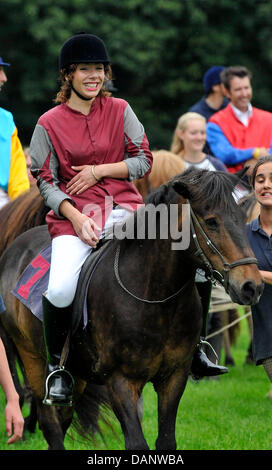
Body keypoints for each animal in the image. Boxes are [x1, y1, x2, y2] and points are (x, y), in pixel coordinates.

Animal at [0, 168, 264, 448]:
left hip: (77, 373)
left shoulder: (174, 376)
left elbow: (166, 441)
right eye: (212, 221)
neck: (155, 296)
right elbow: (137, 443)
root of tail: (14, 248)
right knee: (51, 425)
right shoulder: (120, 381)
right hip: (33, 359)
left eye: (241, 218)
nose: (252, 286)